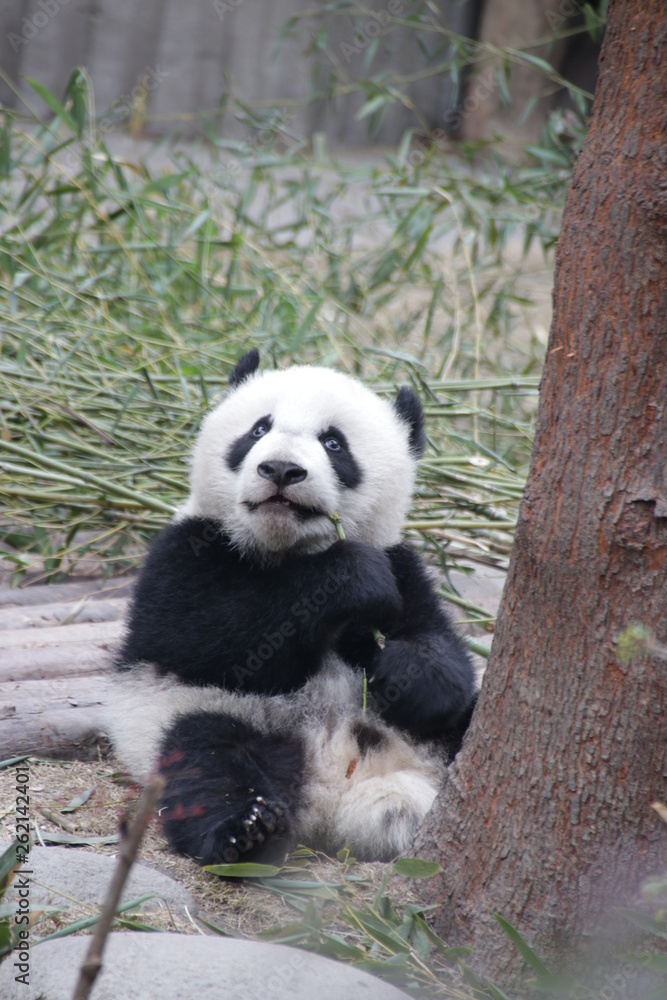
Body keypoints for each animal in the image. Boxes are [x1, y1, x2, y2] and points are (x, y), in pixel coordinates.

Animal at [108, 349, 477, 865]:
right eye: (259, 429)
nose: (281, 469)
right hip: (187, 716)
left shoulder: (403, 564)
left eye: (334, 443)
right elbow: (209, 638)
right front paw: (349, 577)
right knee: (206, 758)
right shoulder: (182, 551)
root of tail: (337, 794)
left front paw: (408, 669)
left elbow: (440, 646)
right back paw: (245, 829)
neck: (288, 549)